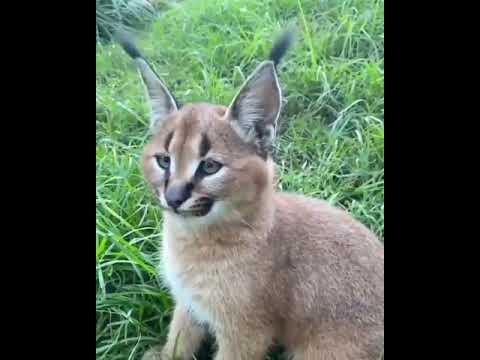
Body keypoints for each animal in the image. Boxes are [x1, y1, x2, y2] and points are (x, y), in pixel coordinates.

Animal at [118, 31, 384, 360]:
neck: (190, 237)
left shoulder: (245, 333)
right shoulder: (189, 303)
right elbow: (179, 338)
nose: (174, 198)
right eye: (164, 161)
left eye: (210, 166)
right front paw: (166, 354)